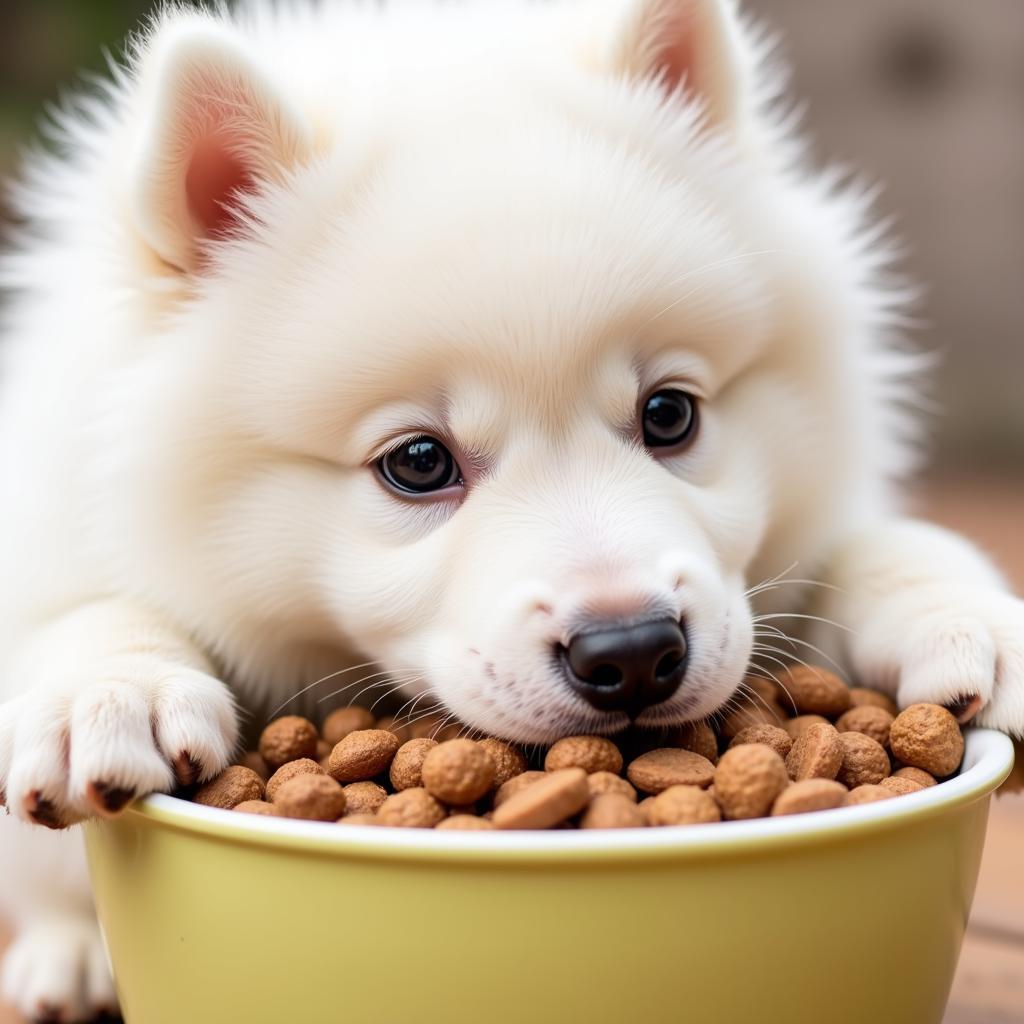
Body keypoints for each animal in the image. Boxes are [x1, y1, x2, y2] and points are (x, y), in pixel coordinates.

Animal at [2, 0, 1024, 1019]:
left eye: (670, 414)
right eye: (418, 463)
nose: (633, 652)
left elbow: (869, 545)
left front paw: (967, 613)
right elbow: (88, 607)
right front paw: (115, 689)